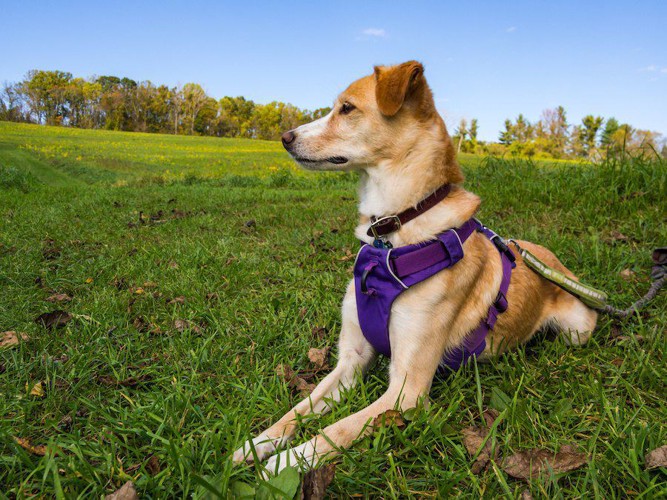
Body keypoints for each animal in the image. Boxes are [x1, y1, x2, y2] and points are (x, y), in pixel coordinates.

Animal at [232, 60, 596, 474]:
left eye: (347, 108)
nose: (285, 137)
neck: (391, 234)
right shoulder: (351, 361)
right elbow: (299, 409)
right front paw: (258, 443)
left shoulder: (405, 391)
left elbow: (337, 430)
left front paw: (284, 464)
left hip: (577, 330)